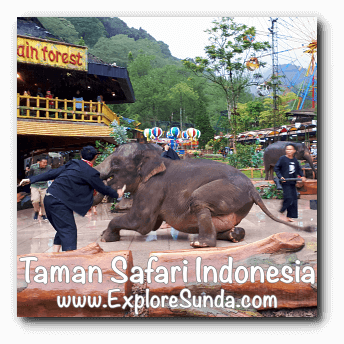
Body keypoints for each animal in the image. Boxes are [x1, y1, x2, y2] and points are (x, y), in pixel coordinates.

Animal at [94, 142, 314, 247]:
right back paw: (234, 235)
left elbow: (142, 223)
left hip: (228, 190)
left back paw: (200, 243)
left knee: (198, 200)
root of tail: (253, 189)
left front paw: (105, 238)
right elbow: (150, 224)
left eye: (116, 163)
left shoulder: (153, 187)